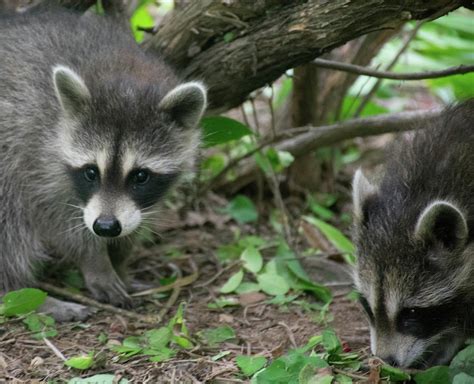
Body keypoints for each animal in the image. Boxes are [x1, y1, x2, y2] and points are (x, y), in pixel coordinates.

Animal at [0, 8, 207, 320]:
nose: (106, 227)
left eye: (141, 176)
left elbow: (136, 220)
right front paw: (96, 262)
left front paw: (120, 260)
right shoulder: (34, 149)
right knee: (9, 223)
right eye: (91, 172)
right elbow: (58, 216)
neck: (120, 73)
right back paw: (21, 294)